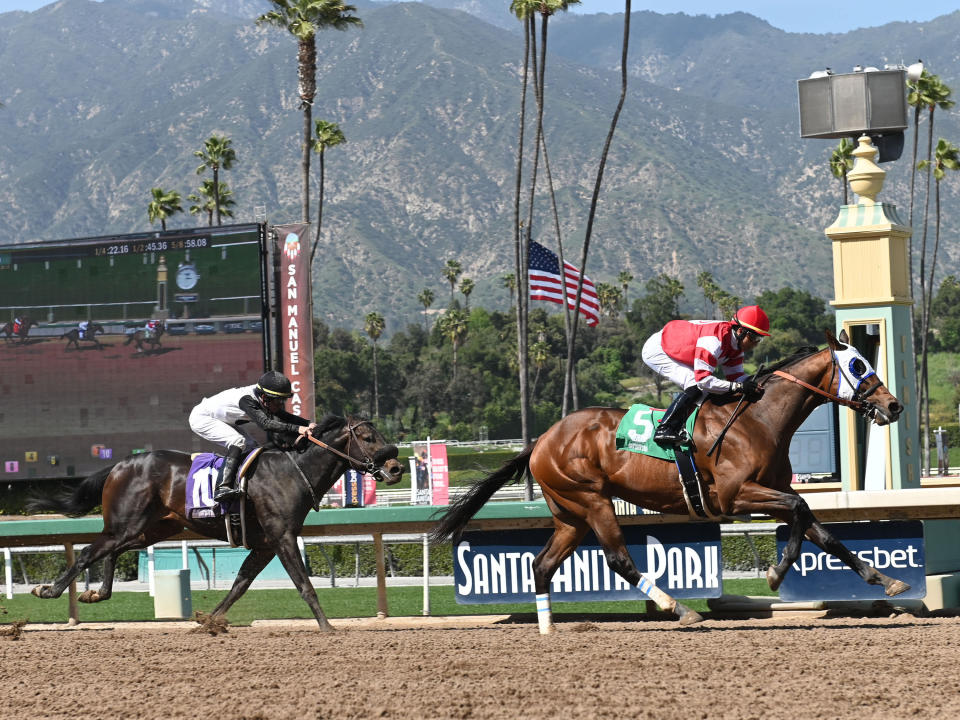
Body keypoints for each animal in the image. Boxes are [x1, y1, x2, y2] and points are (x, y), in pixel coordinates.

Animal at [26, 416, 402, 632]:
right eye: (368, 437)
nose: (396, 467)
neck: (292, 472)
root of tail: (119, 465)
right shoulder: (282, 538)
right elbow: (303, 584)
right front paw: (328, 628)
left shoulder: (266, 545)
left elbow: (240, 585)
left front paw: (206, 621)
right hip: (127, 524)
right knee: (89, 551)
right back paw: (49, 590)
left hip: (150, 529)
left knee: (111, 550)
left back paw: (96, 593)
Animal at [432, 330, 912, 632]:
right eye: (857, 364)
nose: (894, 406)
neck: (759, 418)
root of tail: (541, 442)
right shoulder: (735, 497)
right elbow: (799, 513)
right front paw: (776, 574)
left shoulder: (779, 488)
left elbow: (820, 528)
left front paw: (885, 579)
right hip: (592, 501)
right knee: (618, 559)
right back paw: (678, 609)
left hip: (570, 514)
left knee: (542, 564)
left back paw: (548, 628)